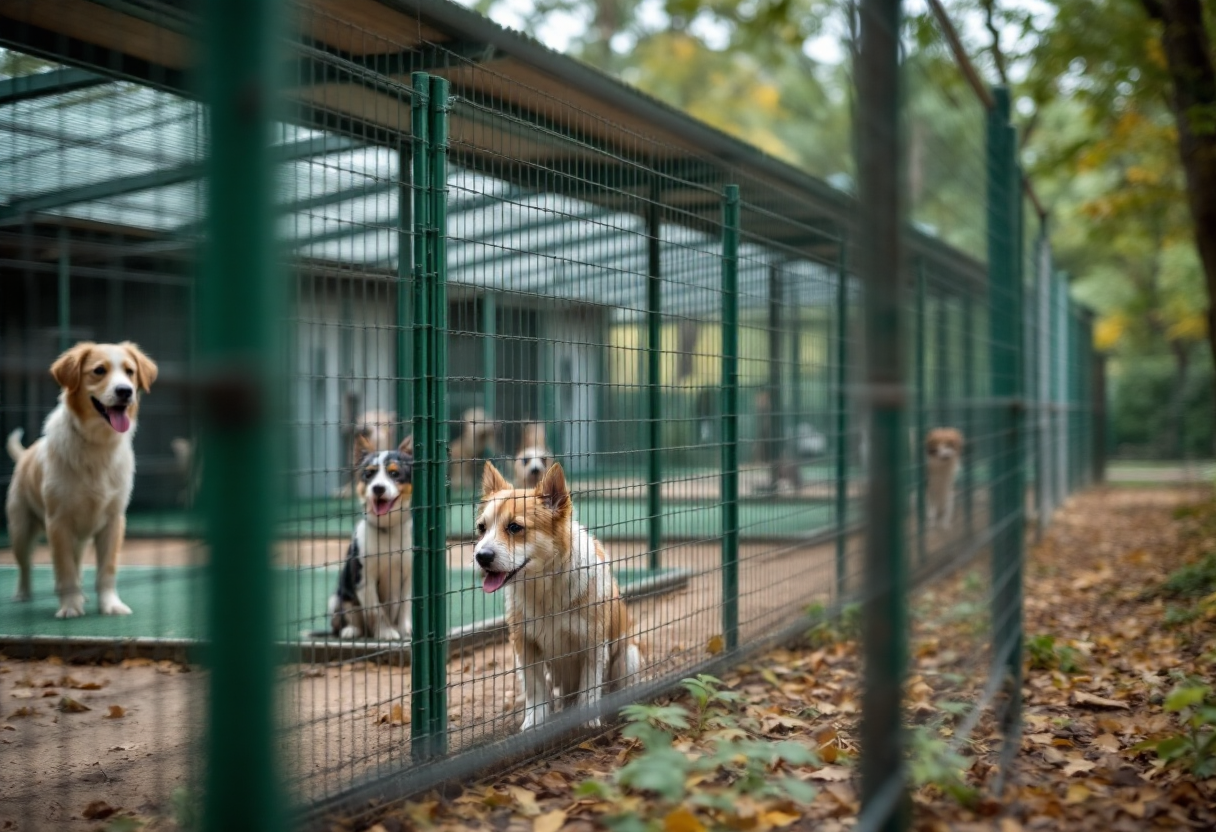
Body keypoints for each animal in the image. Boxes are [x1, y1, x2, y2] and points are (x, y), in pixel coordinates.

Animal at [5, 340, 158, 620]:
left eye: (130, 372)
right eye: (99, 371)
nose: (125, 391)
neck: (97, 443)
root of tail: (25, 455)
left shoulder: (113, 521)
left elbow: (106, 570)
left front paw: (110, 605)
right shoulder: (58, 522)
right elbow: (64, 569)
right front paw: (70, 606)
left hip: (80, 537)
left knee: (76, 563)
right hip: (20, 530)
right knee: (25, 565)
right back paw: (23, 594)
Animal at [328, 433, 413, 642]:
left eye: (394, 474)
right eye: (369, 474)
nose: (378, 488)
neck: (387, 529)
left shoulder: (409, 574)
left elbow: (406, 605)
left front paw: (405, 630)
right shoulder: (364, 578)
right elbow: (376, 610)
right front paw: (386, 633)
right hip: (337, 598)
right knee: (343, 618)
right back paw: (351, 630)